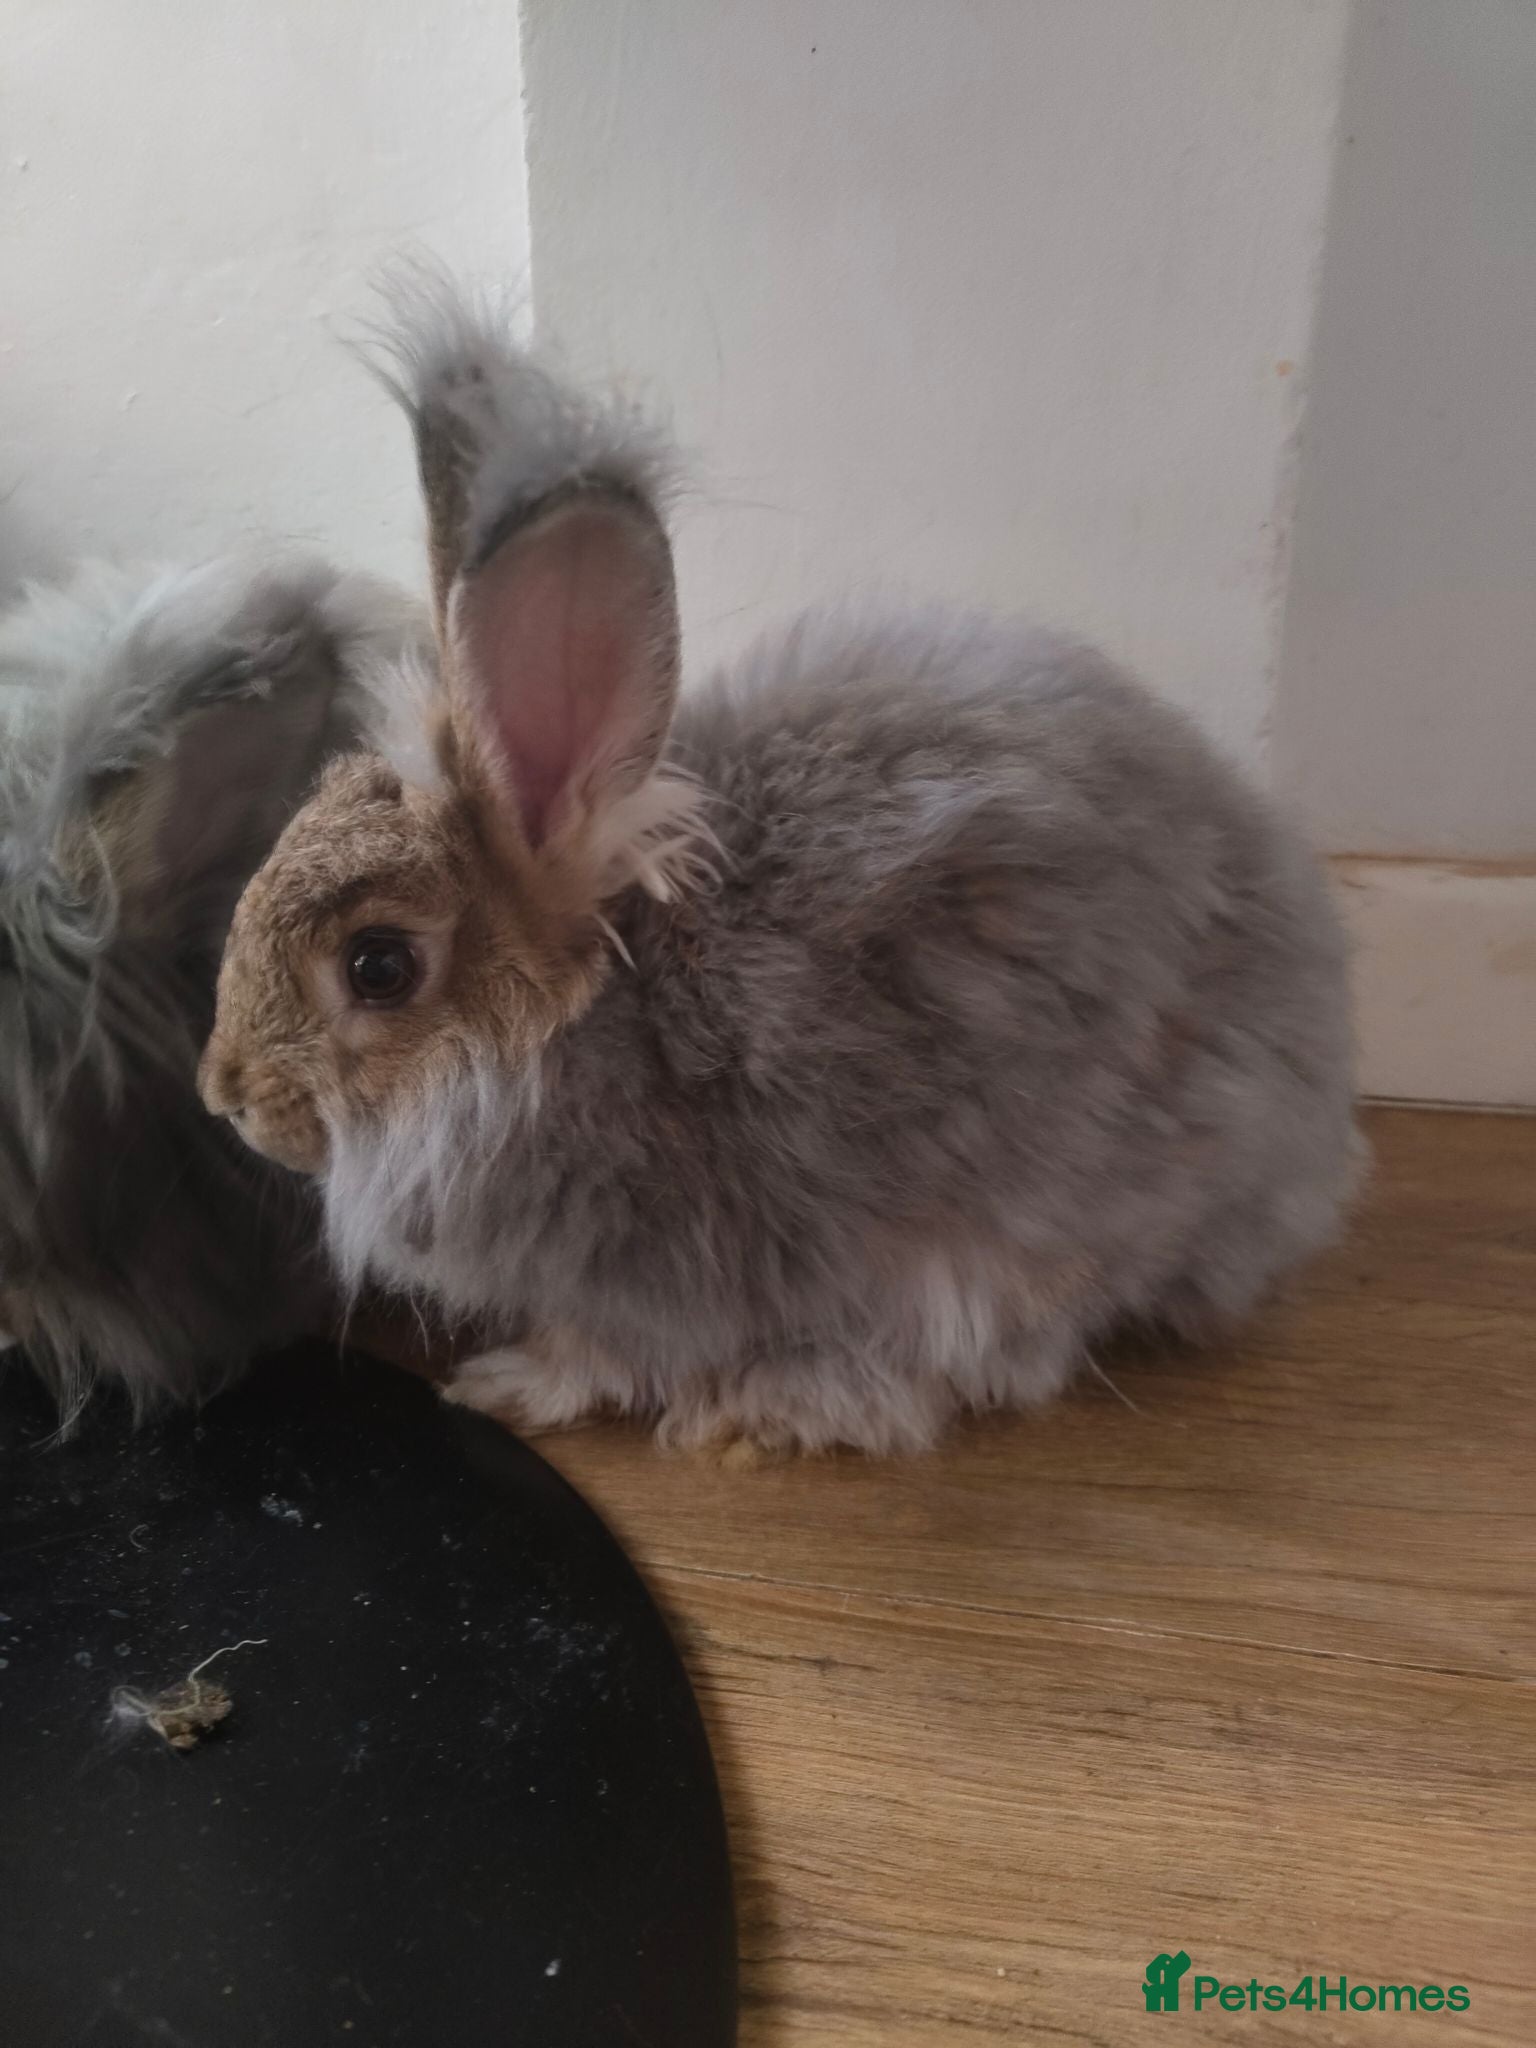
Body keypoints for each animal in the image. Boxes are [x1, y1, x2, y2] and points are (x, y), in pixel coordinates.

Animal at [198, 281, 1360, 1456]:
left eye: (378, 966)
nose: (226, 1096)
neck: (577, 1034)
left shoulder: (649, 1280)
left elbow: (602, 1352)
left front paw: (506, 1385)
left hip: (1017, 1234)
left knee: (984, 1360)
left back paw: (774, 1403)